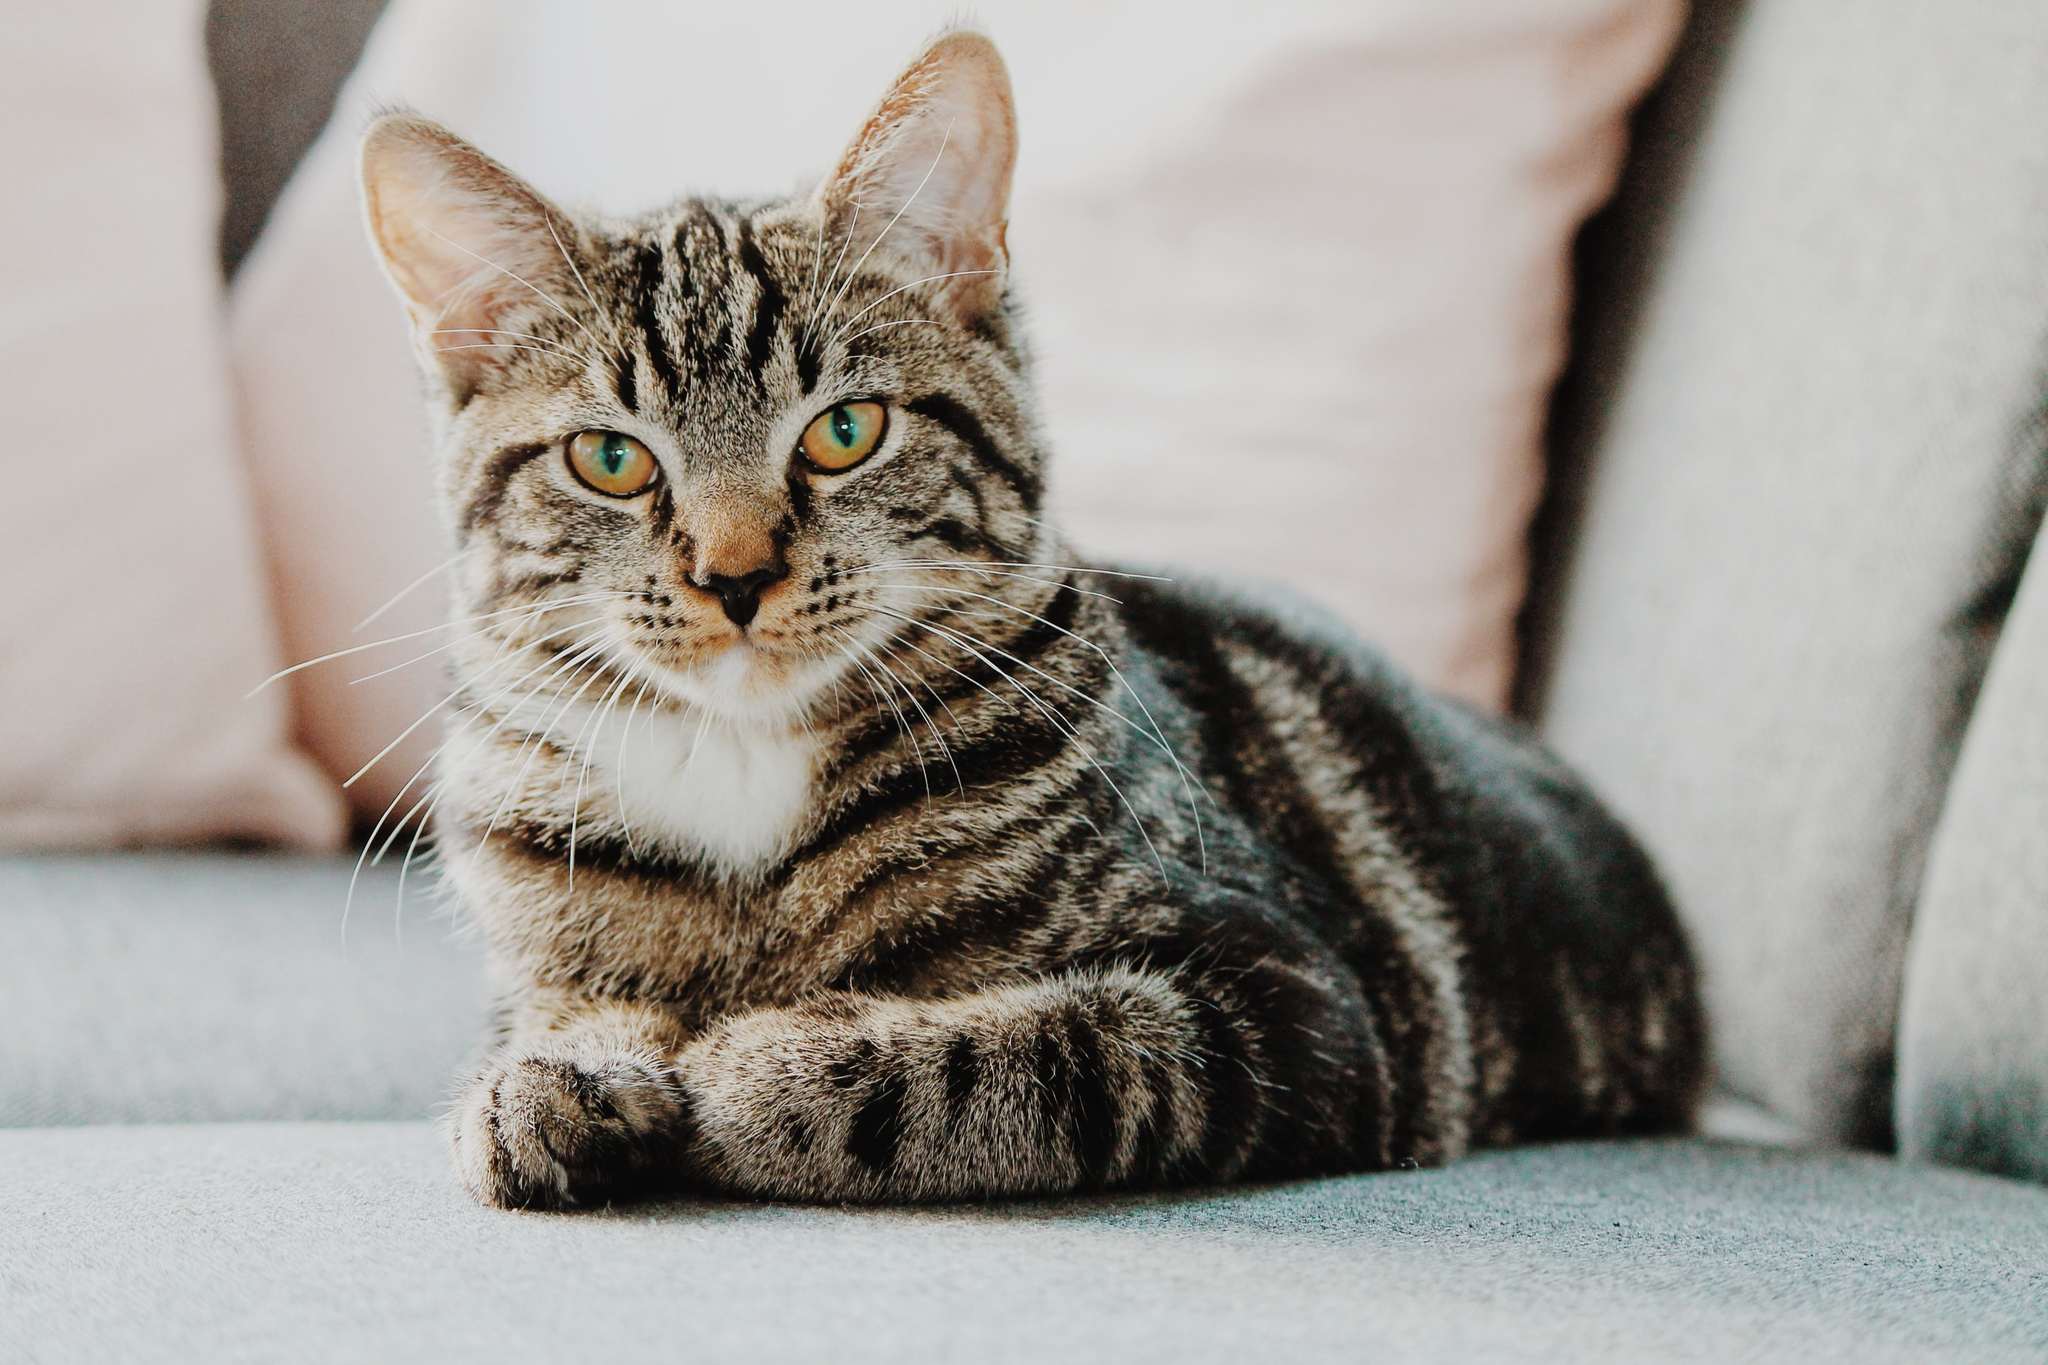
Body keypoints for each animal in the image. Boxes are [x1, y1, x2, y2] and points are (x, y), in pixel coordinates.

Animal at [356, 29, 1712, 1203]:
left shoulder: (1293, 1004)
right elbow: (559, 1009)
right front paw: (552, 1073)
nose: (733, 576)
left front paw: (755, 1065)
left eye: (844, 432)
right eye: (610, 459)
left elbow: (1014, 1057)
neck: (744, 771)